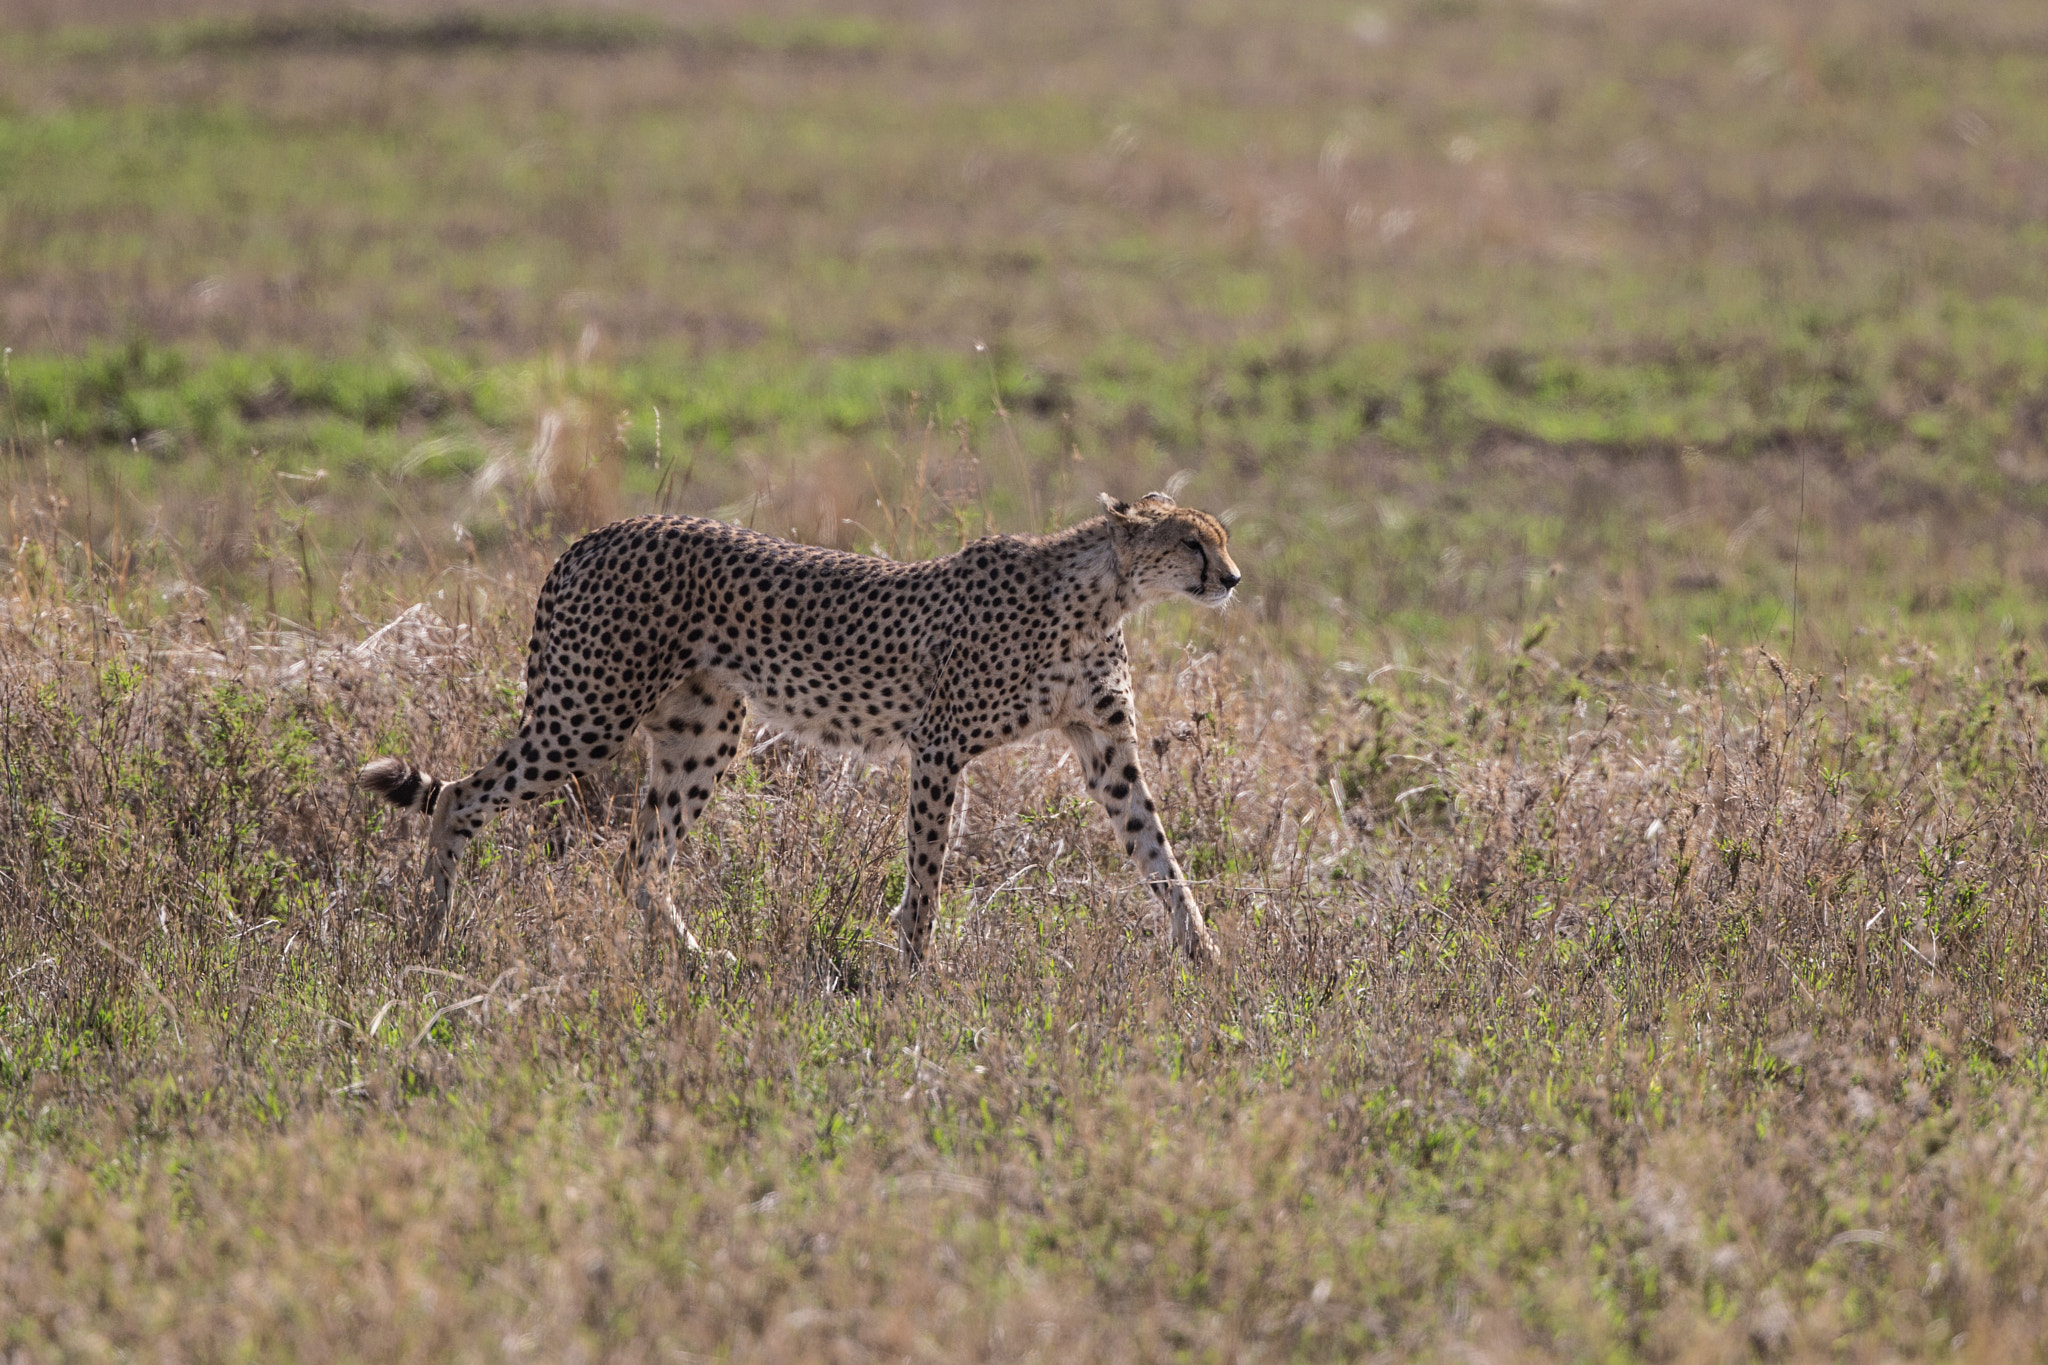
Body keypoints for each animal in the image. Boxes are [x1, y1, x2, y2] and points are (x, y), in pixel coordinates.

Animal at [360, 491, 1236, 970]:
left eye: (1219, 539)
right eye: (1190, 542)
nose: (1231, 578)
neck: (1099, 595)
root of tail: (593, 535)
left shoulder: (1106, 746)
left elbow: (1159, 853)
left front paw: (1207, 957)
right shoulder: (939, 746)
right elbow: (927, 872)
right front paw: (916, 971)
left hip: (703, 729)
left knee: (638, 861)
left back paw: (695, 959)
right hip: (588, 710)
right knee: (461, 798)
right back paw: (431, 938)